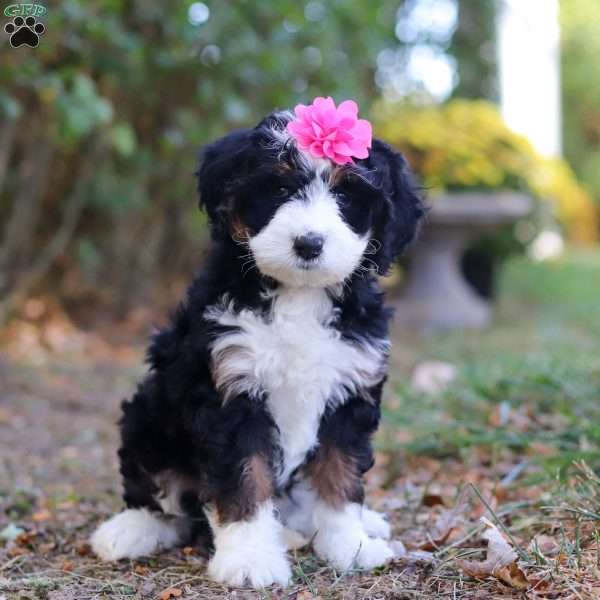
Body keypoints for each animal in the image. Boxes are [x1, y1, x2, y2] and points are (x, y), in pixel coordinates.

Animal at [91, 98, 424, 584]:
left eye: (347, 196)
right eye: (280, 188)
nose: (309, 243)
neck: (298, 296)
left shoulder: (349, 389)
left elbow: (340, 475)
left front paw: (349, 544)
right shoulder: (230, 391)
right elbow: (244, 479)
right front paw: (249, 557)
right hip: (147, 415)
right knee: (161, 497)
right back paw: (131, 530)